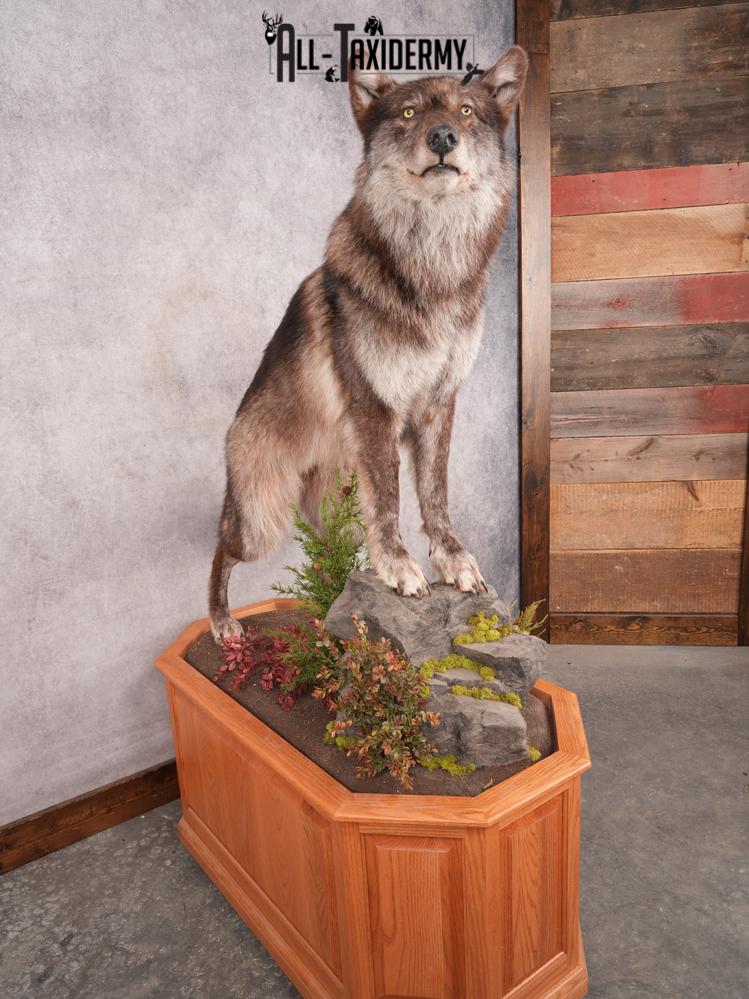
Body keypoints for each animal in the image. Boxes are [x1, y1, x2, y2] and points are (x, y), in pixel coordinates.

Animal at [209, 46, 528, 641]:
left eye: (467, 111)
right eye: (408, 113)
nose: (443, 137)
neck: (431, 271)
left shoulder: (438, 405)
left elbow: (434, 493)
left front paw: (451, 560)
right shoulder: (377, 408)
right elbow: (392, 498)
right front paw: (400, 567)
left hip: (333, 513)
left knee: (323, 560)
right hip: (262, 521)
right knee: (221, 547)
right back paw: (221, 623)